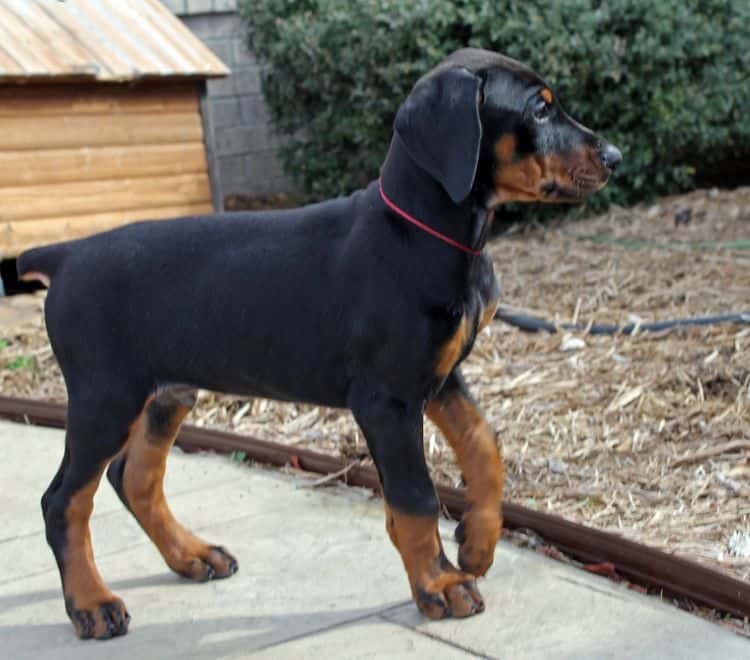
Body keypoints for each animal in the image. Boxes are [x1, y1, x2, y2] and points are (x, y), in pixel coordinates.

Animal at [20, 47, 624, 640]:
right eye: (539, 109)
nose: (616, 155)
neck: (425, 233)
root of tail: (67, 254)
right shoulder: (386, 399)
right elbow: (416, 497)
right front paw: (439, 585)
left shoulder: (440, 376)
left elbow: (484, 448)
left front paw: (476, 542)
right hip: (106, 396)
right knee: (63, 500)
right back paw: (93, 604)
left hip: (168, 391)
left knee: (134, 478)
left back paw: (191, 555)